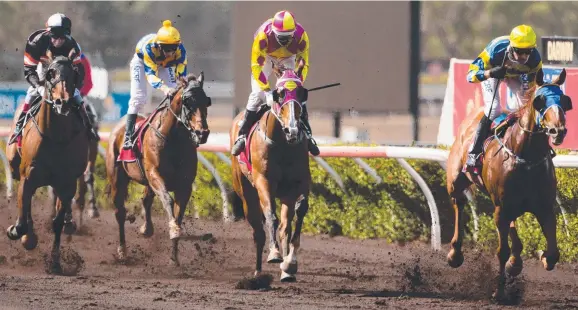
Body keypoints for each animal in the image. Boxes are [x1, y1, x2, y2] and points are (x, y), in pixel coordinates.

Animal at [5, 55, 89, 274]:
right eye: (51, 74)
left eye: (73, 74)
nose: (63, 101)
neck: (56, 136)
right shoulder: (28, 177)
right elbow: (22, 219)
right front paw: (20, 234)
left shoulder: (67, 183)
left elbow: (57, 224)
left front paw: (56, 263)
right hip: (14, 163)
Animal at [104, 71, 210, 266]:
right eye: (187, 101)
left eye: (206, 101)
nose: (202, 133)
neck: (174, 138)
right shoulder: (155, 175)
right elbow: (168, 200)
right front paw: (173, 230)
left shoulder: (185, 185)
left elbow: (178, 213)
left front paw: (174, 257)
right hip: (117, 179)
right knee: (120, 212)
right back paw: (122, 251)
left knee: (146, 199)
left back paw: (146, 228)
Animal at [228, 61, 310, 282]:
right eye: (279, 94)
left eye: (302, 92)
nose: (293, 130)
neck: (283, 144)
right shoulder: (264, 182)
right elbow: (270, 216)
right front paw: (274, 254)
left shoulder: (301, 182)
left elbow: (299, 211)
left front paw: (290, 263)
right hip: (246, 192)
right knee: (258, 230)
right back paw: (258, 272)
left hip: (286, 194)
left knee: (284, 227)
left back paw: (285, 271)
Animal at [444, 69, 568, 302]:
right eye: (540, 101)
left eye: (565, 101)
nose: (558, 131)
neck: (526, 157)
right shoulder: (501, 208)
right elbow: (501, 251)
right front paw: (499, 292)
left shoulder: (545, 207)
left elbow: (553, 253)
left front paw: (541, 256)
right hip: (456, 180)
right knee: (459, 202)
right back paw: (455, 253)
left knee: (511, 228)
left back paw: (515, 262)